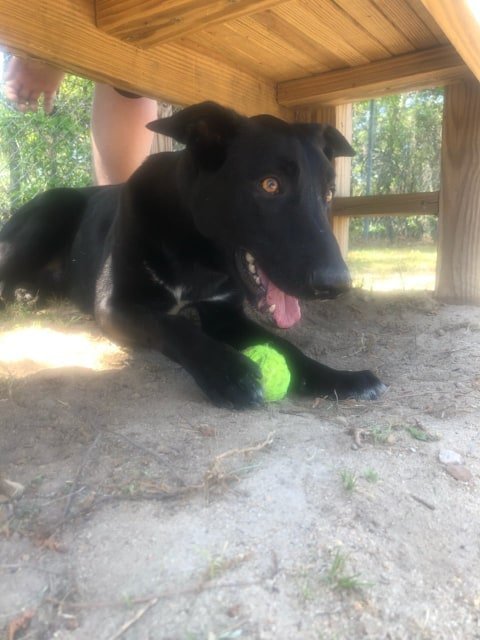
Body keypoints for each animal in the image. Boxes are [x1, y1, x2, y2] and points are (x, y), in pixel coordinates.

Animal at [0, 102, 384, 408]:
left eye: (328, 193)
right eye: (270, 184)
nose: (337, 285)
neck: (197, 256)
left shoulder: (225, 314)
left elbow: (285, 346)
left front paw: (337, 377)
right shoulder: (115, 305)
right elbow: (173, 325)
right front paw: (230, 372)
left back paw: (29, 295)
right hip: (50, 213)